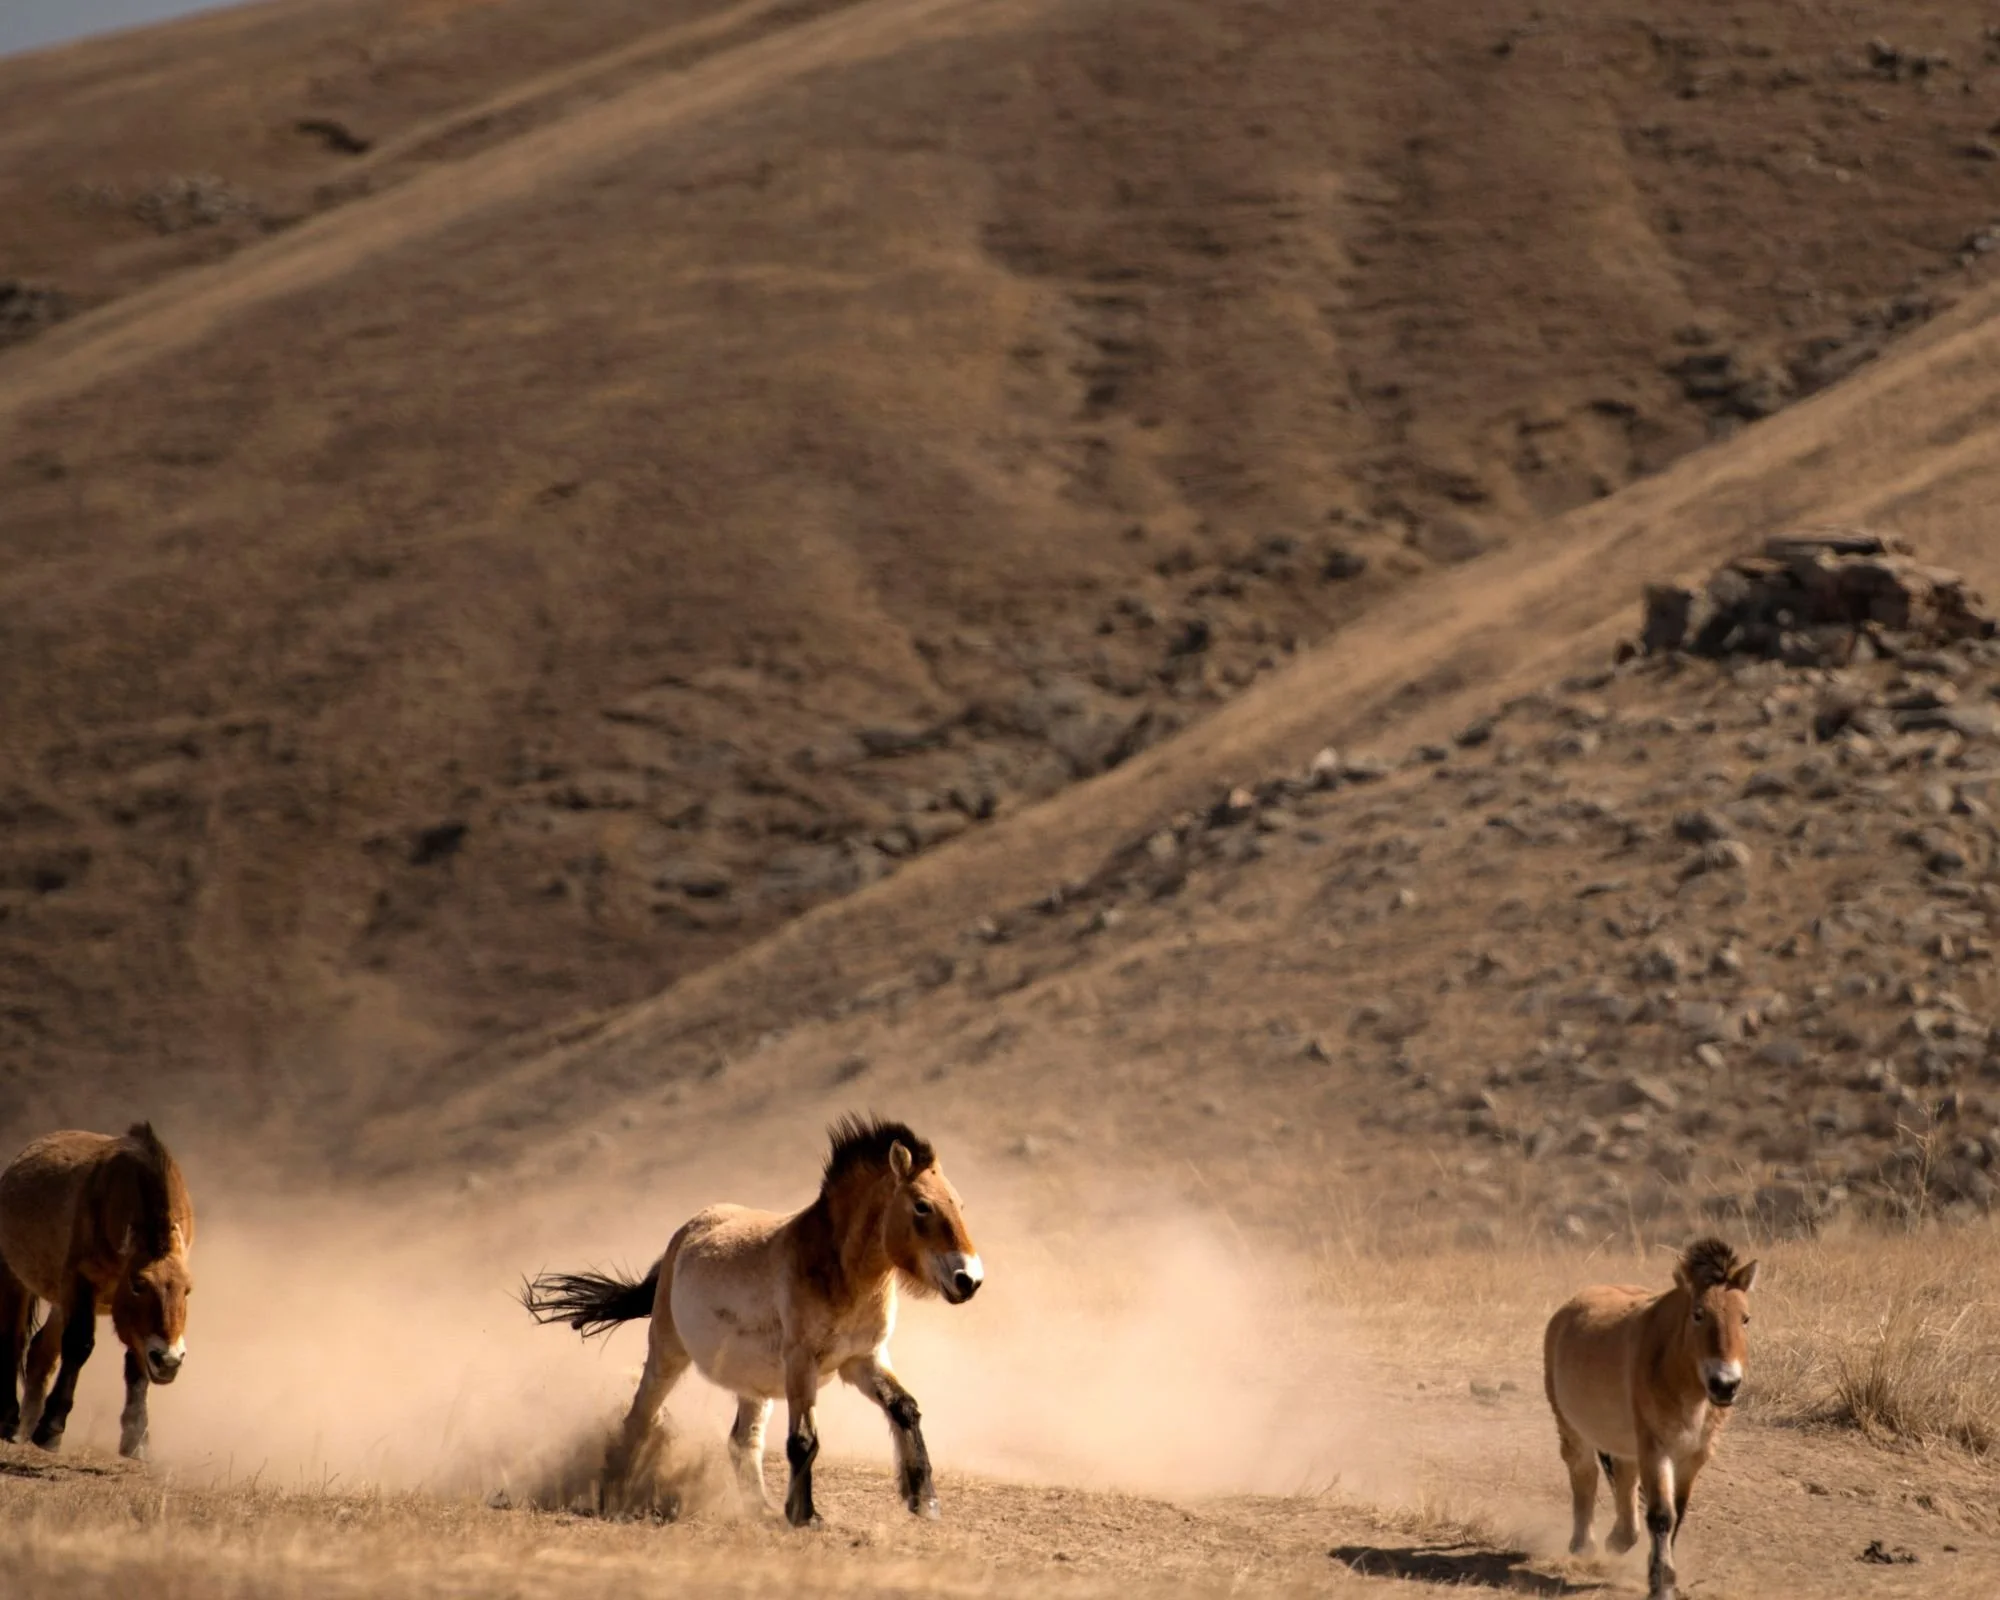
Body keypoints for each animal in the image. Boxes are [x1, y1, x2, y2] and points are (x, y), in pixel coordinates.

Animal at [0, 1123, 196, 1461]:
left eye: (187, 1290)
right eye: (139, 1284)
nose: (169, 1360)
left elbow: (136, 1360)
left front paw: (136, 1439)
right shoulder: (80, 1282)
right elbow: (79, 1345)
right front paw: (51, 1428)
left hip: (59, 1300)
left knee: (40, 1352)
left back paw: (25, 1425)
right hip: (15, 1278)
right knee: (14, 1340)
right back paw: (10, 1420)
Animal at [523, 1115, 982, 1528]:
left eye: (959, 1205)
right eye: (922, 1206)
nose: (970, 1279)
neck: (837, 1267)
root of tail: (683, 1235)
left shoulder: (863, 1359)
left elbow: (905, 1408)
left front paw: (924, 1501)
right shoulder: (802, 1362)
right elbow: (804, 1440)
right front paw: (805, 1515)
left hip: (753, 1385)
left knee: (743, 1440)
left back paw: (758, 1507)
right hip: (667, 1353)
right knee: (640, 1419)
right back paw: (615, 1492)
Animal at [1543, 1236, 1758, 1600]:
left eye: (1745, 1318)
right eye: (1698, 1314)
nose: (1725, 1384)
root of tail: (1567, 1310)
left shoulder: (1693, 1456)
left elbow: (1677, 1514)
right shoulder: (1657, 1449)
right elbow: (1661, 1515)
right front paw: (1661, 1583)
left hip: (1626, 1442)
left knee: (1624, 1478)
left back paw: (1620, 1539)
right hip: (1572, 1429)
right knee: (1584, 1474)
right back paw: (1584, 1545)